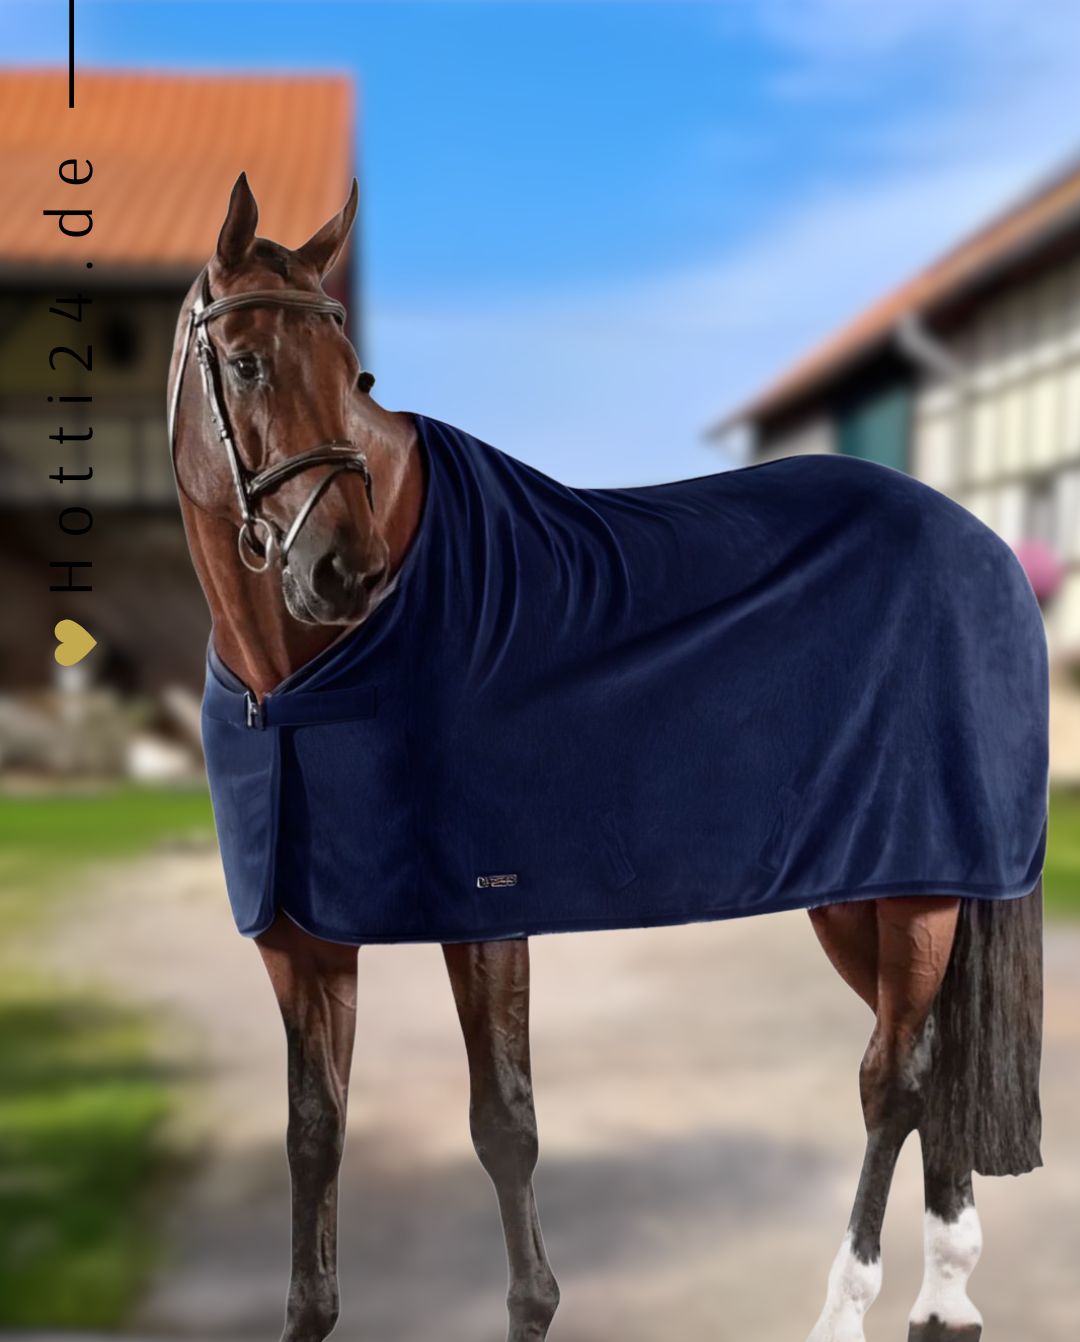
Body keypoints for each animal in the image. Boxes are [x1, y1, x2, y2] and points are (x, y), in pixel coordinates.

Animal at [167, 174, 1045, 1342]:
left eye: (356, 374)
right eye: (247, 361)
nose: (342, 570)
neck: (299, 687)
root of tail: (986, 545)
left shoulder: (484, 908)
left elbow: (504, 1124)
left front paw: (534, 1307)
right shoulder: (297, 940)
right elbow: (316, 1132)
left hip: (917, 895)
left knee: (892, 1078)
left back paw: (848, 1305)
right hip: (872, 891)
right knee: (934, 1057)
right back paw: (945, 1297)